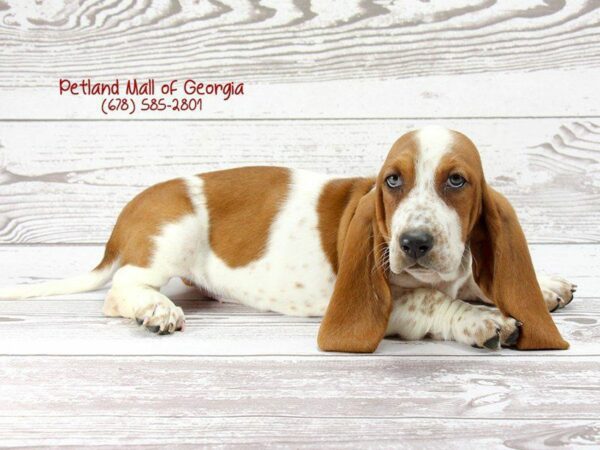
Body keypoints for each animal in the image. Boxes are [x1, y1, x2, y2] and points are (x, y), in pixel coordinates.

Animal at [0, 125, 576, 352]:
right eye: (393, 181)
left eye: (457, 181)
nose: (413, 243)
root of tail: (127, 214)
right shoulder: (388, 301)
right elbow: (436, 302)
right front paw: (485, 321)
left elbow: (473, 278)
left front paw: (545, 285)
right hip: (171, 237)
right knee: (121, 290)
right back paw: (155, 310)